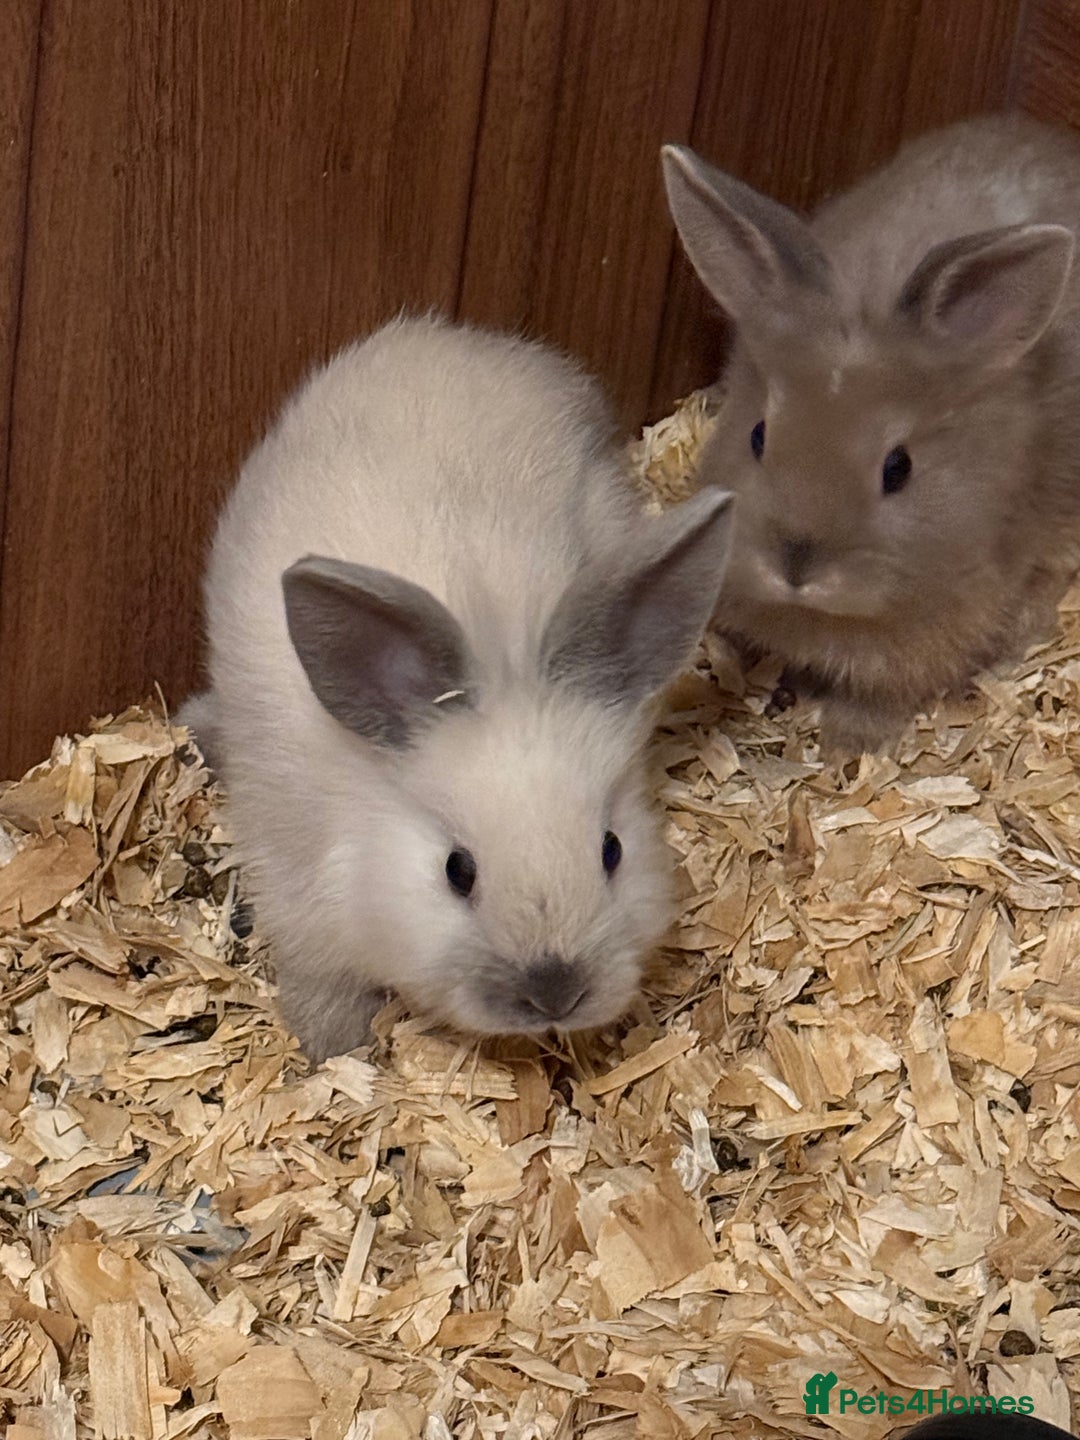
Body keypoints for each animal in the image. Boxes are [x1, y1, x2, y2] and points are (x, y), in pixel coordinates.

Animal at [187, 315, 734, 1062]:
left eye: (612, 850)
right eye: (457, 870)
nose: (554, 993)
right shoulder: (299, 899)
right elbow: (322, 991)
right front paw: (336, 1054)